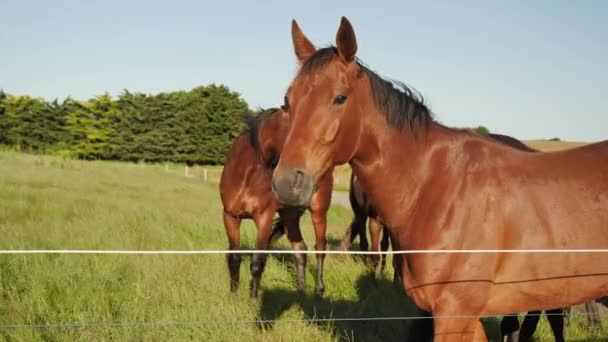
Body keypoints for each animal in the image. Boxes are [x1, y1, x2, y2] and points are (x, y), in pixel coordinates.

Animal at [220, 108, 332, 298]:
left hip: (318, 211)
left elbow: (257, 262)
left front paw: (253, 299)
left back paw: (319, 290)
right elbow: (234, 258)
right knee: (300, 249)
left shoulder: (264, 219)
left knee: (320, 247)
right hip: (290, 215)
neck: (247, 177)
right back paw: (301, 292)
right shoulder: (230, 217)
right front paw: (233, 296)